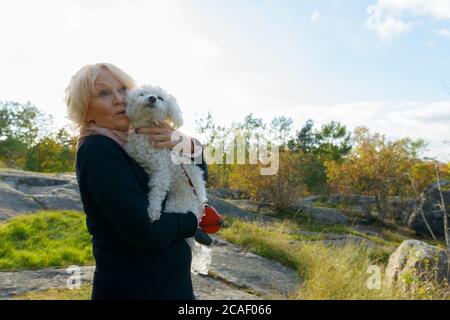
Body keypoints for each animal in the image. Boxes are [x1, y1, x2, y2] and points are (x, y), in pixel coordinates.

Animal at [124, 85, 212, 276]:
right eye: (142, 94)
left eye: (160, 98)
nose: (151, 98)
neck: (148, 130)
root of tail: (198, 210)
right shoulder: (134, 152)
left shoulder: (162, 171)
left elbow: (157, 191)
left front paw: (153, 211)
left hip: (177, 207)